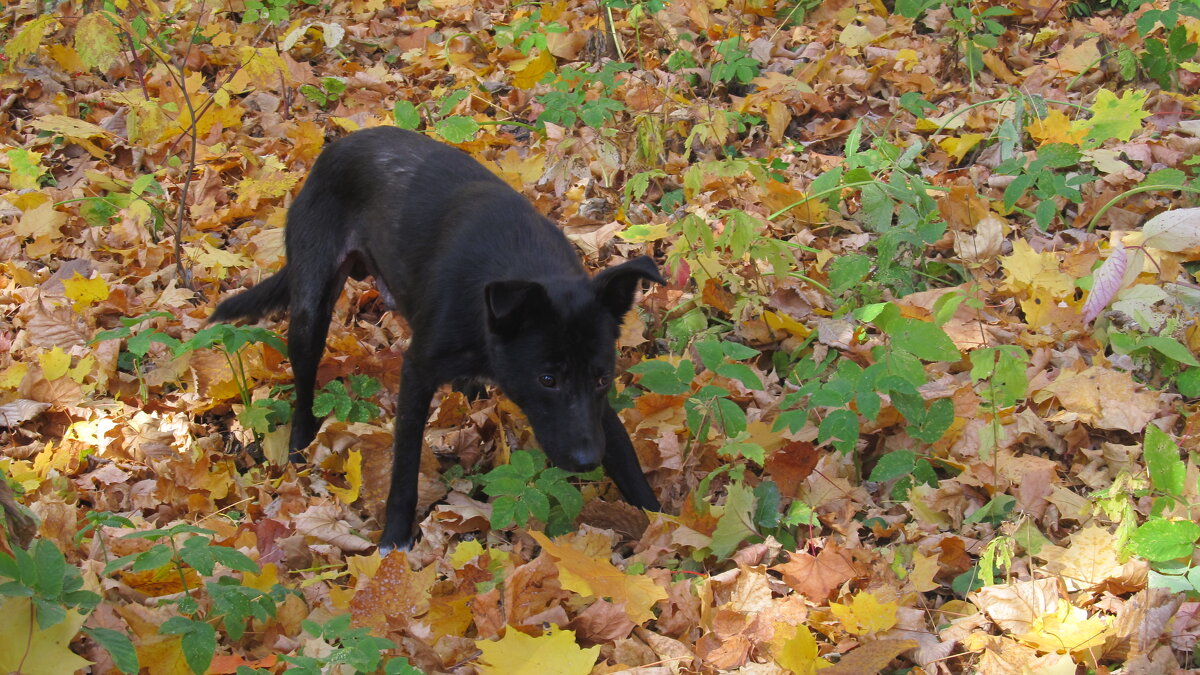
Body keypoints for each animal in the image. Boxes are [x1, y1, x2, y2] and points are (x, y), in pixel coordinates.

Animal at [216, 127, 667, 552]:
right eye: (547, 380)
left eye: (602, 378)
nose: (588, 461)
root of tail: (335, 148)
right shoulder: (417, 374)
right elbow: (403, 471)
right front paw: (394, 540)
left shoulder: (595, 408)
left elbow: (625, 457)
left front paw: (662, 530)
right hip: (311, 312)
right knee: (305, 384)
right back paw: (297, 448)